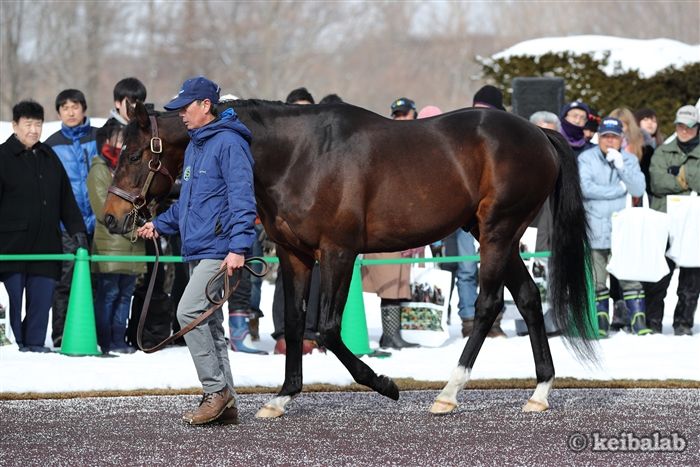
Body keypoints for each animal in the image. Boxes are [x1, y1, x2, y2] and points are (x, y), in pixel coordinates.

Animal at [105, 98, 596, 416]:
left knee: (492, 303)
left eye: (135, 154)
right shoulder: (296, 256)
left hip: (498, 230)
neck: (298, 155)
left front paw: (385, 384)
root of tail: (538, 132)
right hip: (495, 234)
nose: (111, 217)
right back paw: (539, 391)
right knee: (529, 297)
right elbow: (296, 324)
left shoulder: (339, 252)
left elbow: (326, 328)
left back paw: (449, 393)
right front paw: (282, 396)